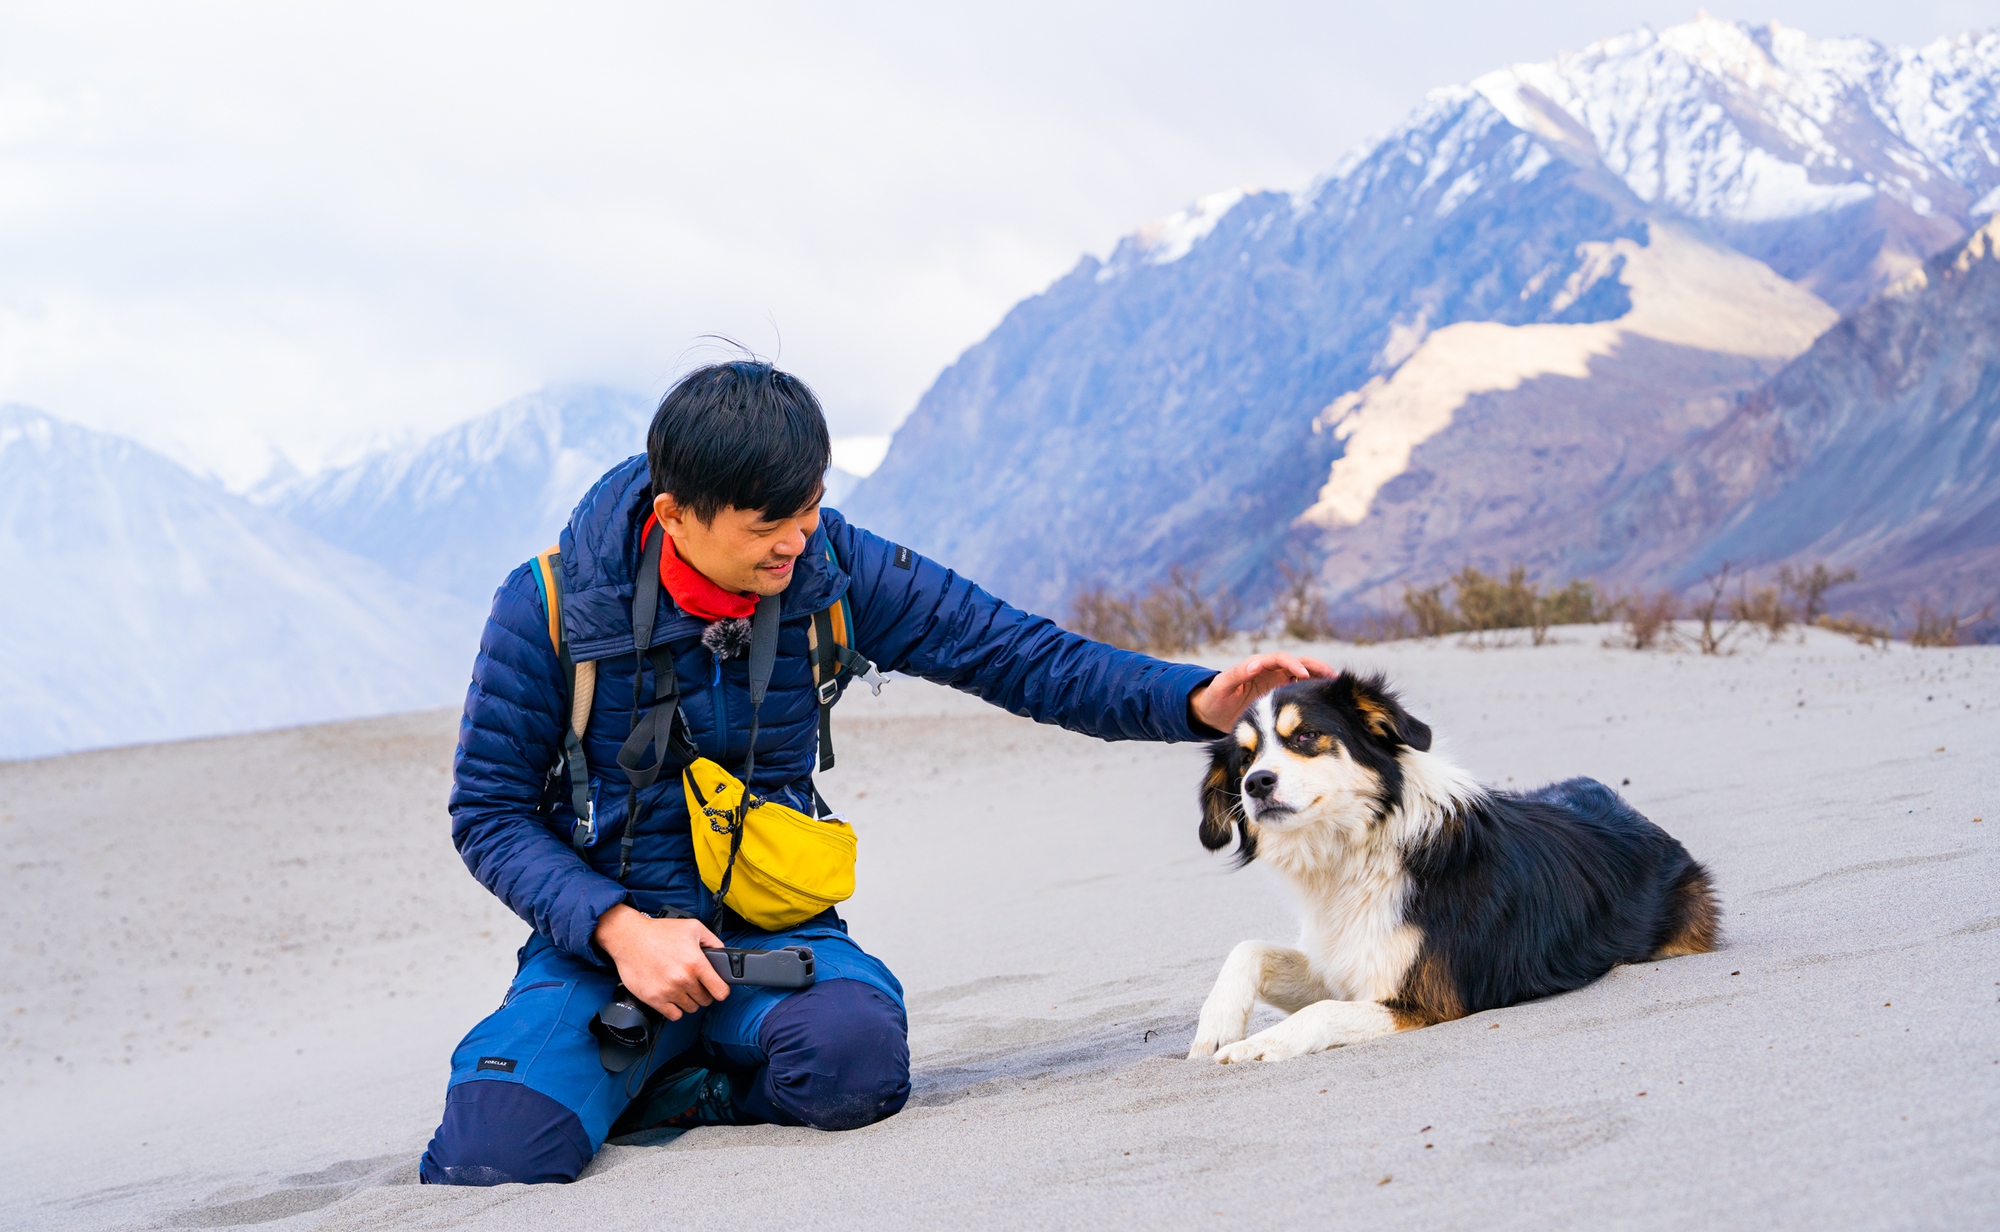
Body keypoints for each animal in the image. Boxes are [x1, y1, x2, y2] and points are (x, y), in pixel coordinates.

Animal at [1184, 668, 1720, 1064]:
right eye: (1244, 758)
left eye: (1307, 736)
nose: (1256, 783)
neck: (1358, 849)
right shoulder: (1346, 960)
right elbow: (1250, 950)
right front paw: (1218, 1026)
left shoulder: (1428, 998)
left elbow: (1322, 1011)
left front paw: (1257, 1045)